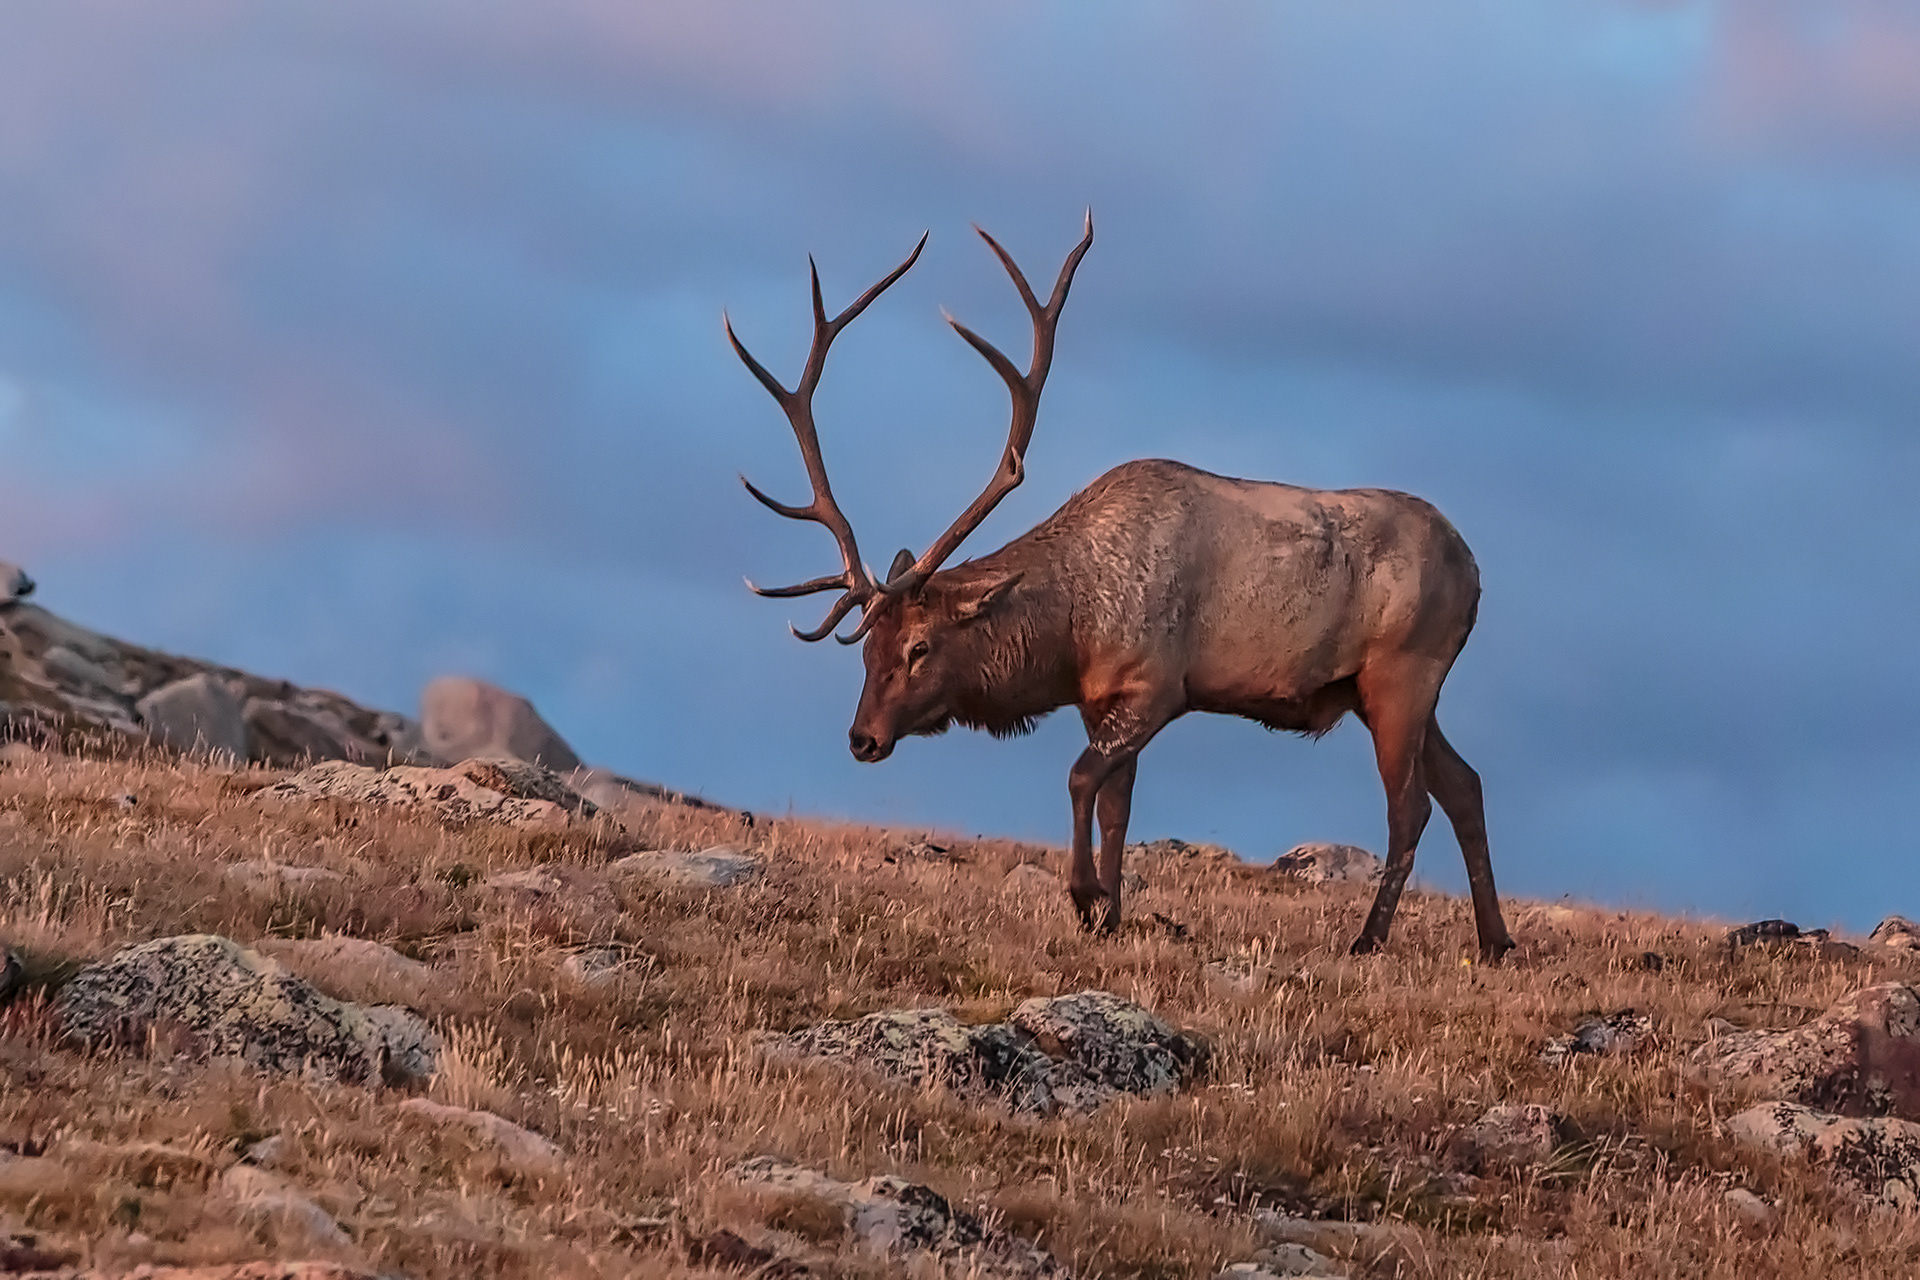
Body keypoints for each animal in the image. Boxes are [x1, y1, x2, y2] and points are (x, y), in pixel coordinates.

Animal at [726, 215, 1515, 961]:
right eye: (865, 649)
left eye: (921, 647)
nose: (862, 738)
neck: (1075, 630)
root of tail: (1475, 569)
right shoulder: (1100, 698)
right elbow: (1117, 806)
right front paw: (1109, 911)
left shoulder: (1158, 685)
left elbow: (1082, 780)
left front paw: (1085, 897)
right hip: (1384, 687)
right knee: (1465, 784)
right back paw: (1495, 940)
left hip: (1401, 670)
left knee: (1410, 806)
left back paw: (1370, 938)